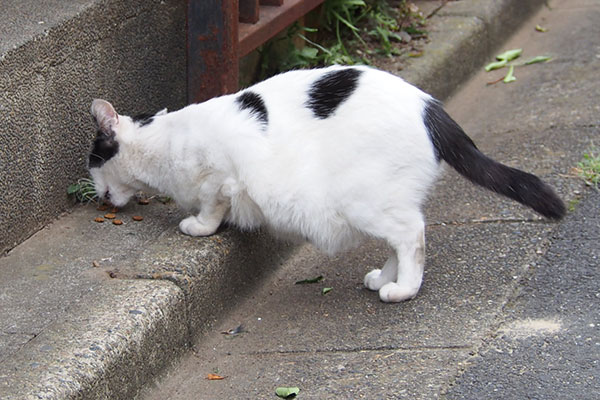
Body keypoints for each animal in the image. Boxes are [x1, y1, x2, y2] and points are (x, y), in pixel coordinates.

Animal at [86, 65, 564, 302]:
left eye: (92, 161)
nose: (94, 193)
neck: (163, 141)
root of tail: (431, 106)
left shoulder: (222, 172)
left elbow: (212, 204)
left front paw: (198, 226)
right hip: (382, 202)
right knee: (401, 238)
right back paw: (384, 277)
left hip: (363, 199)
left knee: (413, 235)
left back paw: (403, 290)